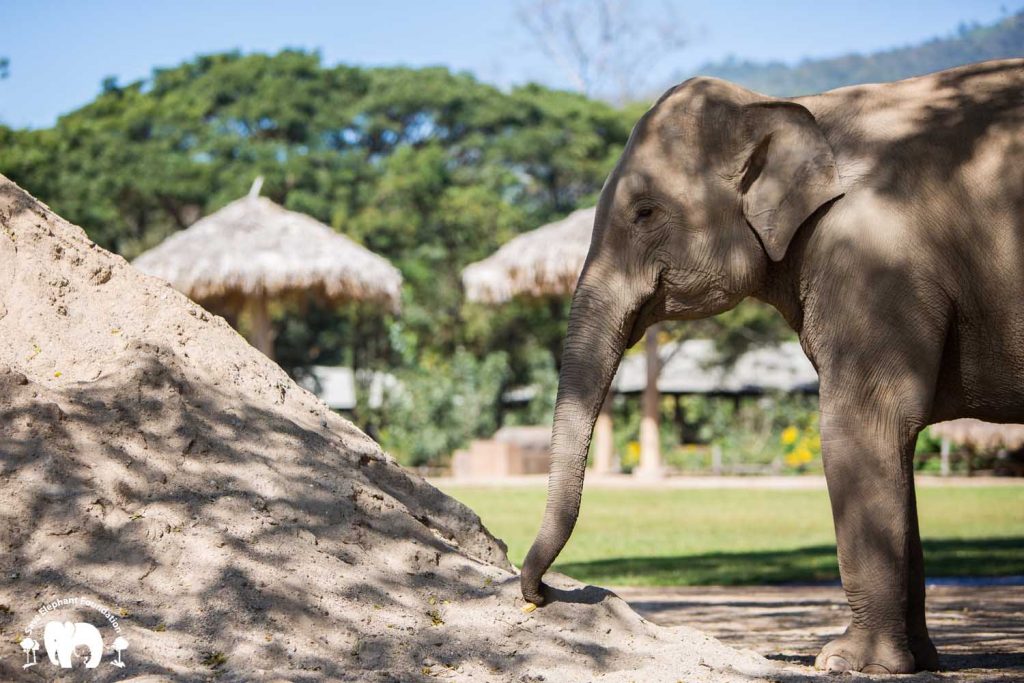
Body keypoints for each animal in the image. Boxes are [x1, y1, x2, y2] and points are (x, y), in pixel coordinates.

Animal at [521, 59, 1024, 674]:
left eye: (644, 212)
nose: (543, 593)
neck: (797, 106)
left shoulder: (875, 263)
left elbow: (862, 426)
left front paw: (847, 663)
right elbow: (894, 442)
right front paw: (916, 663)